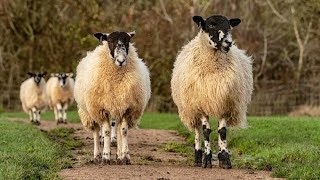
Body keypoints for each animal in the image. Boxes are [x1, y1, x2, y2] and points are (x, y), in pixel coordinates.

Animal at [74, 30, 151, 165]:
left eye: (128, 41)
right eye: (110, 41)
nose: (121, 60)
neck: (116, 78)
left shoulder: (127, 108)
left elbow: (123, 131)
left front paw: (125, 157)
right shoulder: (101, 109)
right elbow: (106, 132)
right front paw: (106, 157)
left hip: (117, 108)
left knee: (118, 130)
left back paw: (119, 155)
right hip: (89, 111)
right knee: (96, 131)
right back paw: (97, 156)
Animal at [171, 15, 254, 169]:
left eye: (229, 26)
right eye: (211, 25)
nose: (228, 42)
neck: (213, 67)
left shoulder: (224, 101)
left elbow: (222, 131)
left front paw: (225, 159)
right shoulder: (201, 103)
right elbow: (206, 131)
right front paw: (207, 160)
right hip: (192, 108)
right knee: (197, 131)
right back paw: (198, 157)